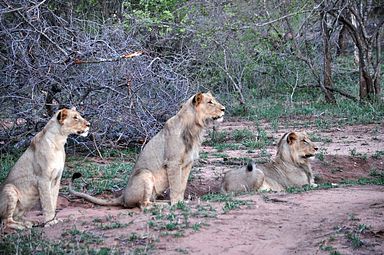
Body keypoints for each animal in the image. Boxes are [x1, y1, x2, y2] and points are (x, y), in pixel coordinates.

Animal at [69, 92, 225, 208]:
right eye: (210, 102)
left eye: (214, 100)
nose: (224, 109)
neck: (194, 128)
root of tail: (123, 196)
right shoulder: (173, 163)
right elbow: (176, 185)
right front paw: (176, 204)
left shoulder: (187, 164)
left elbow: (182, 185)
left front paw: (181, 201)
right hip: (145, 174)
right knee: (144, 205)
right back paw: (164, 205)